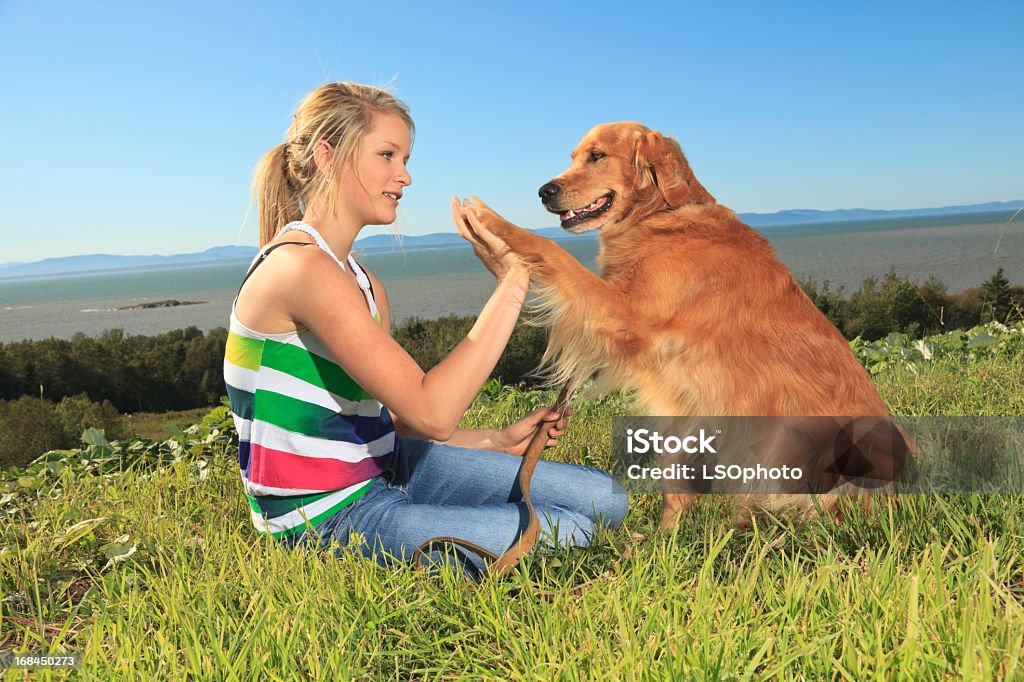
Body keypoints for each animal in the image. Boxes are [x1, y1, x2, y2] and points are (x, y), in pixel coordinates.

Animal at [464, 120, 913, 524]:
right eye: (573, 158)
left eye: (597, 156)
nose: (545, 191)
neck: (659, 215)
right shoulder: (682, 400)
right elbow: (676, 483)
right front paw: (664, 540)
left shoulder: (624, 315)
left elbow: (550, 250)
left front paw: (491, 220)